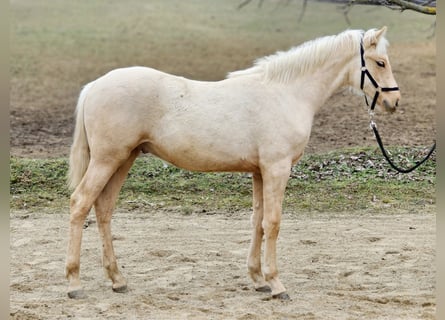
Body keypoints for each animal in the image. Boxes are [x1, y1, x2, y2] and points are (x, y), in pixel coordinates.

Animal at [65, 26, 398, 298]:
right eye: (380, 62)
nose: (394, 102)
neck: (286, 94)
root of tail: (94, 86)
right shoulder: (277, 169)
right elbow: (273, 223)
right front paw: (277, 284)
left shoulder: (260, 172)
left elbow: (258, 222)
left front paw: (258, 280)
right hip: (108, 160)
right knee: (80, 203)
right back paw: (74, 283)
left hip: (123, 160)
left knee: (103, 209)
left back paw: (117, 280)